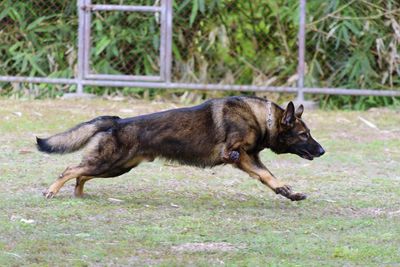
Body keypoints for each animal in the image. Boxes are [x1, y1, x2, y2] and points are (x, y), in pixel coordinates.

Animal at [36, 96, 324, 201]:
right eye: (304, 134)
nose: (322, 151)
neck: (261, 118)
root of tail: (117, 121)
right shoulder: (237, 154)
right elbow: (256, 168)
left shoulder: (249, 159)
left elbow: (268, 177)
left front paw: (288, 192)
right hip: (108, 163)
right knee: (69, 169)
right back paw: (52, 190)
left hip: (115, 168)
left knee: (81, 174)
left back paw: (79, 194)